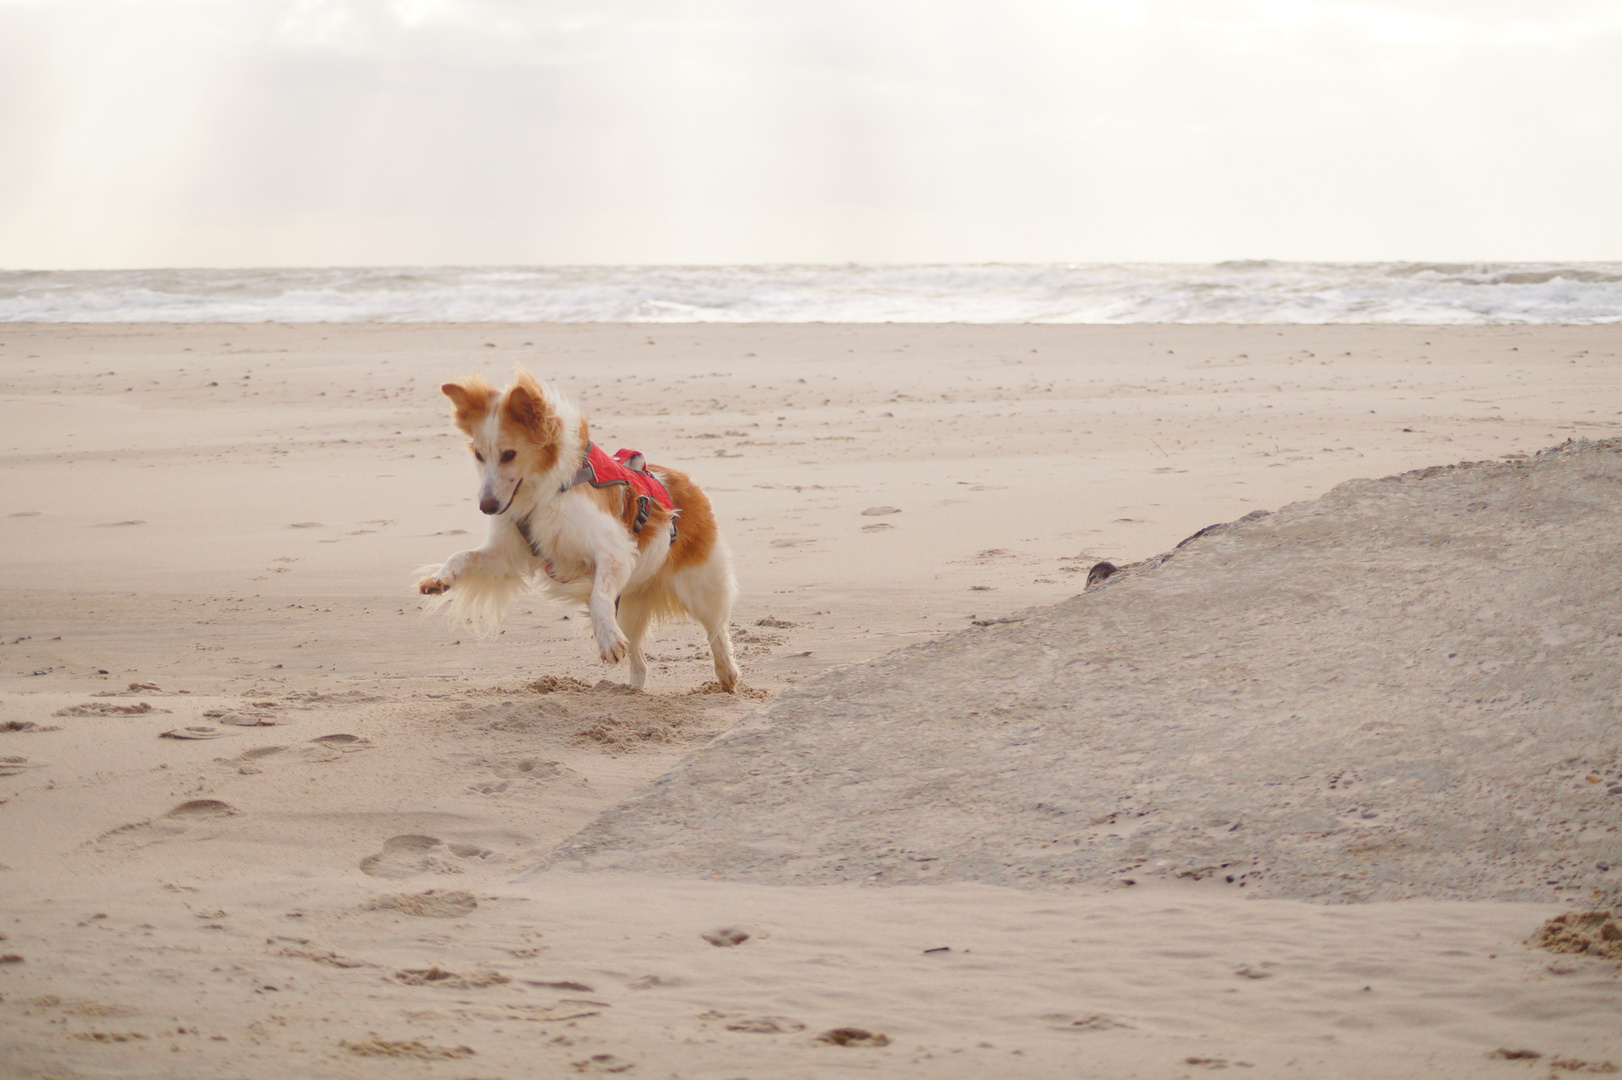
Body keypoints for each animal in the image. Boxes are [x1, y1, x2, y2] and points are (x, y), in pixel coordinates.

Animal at [415, 368, 739, 690]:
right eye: (479, 455)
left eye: (508, 455)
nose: (487, 507)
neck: (544, 493)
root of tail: (685, 481)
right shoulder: (505, 556)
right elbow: (462, 556)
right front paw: (439, 579)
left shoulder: (614, 551)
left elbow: (598, 597)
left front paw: (607, 641)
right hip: (632, 605)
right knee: (639, 655)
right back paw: (633, 689)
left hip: (700, 586)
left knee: (716, 630)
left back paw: (727, 674)